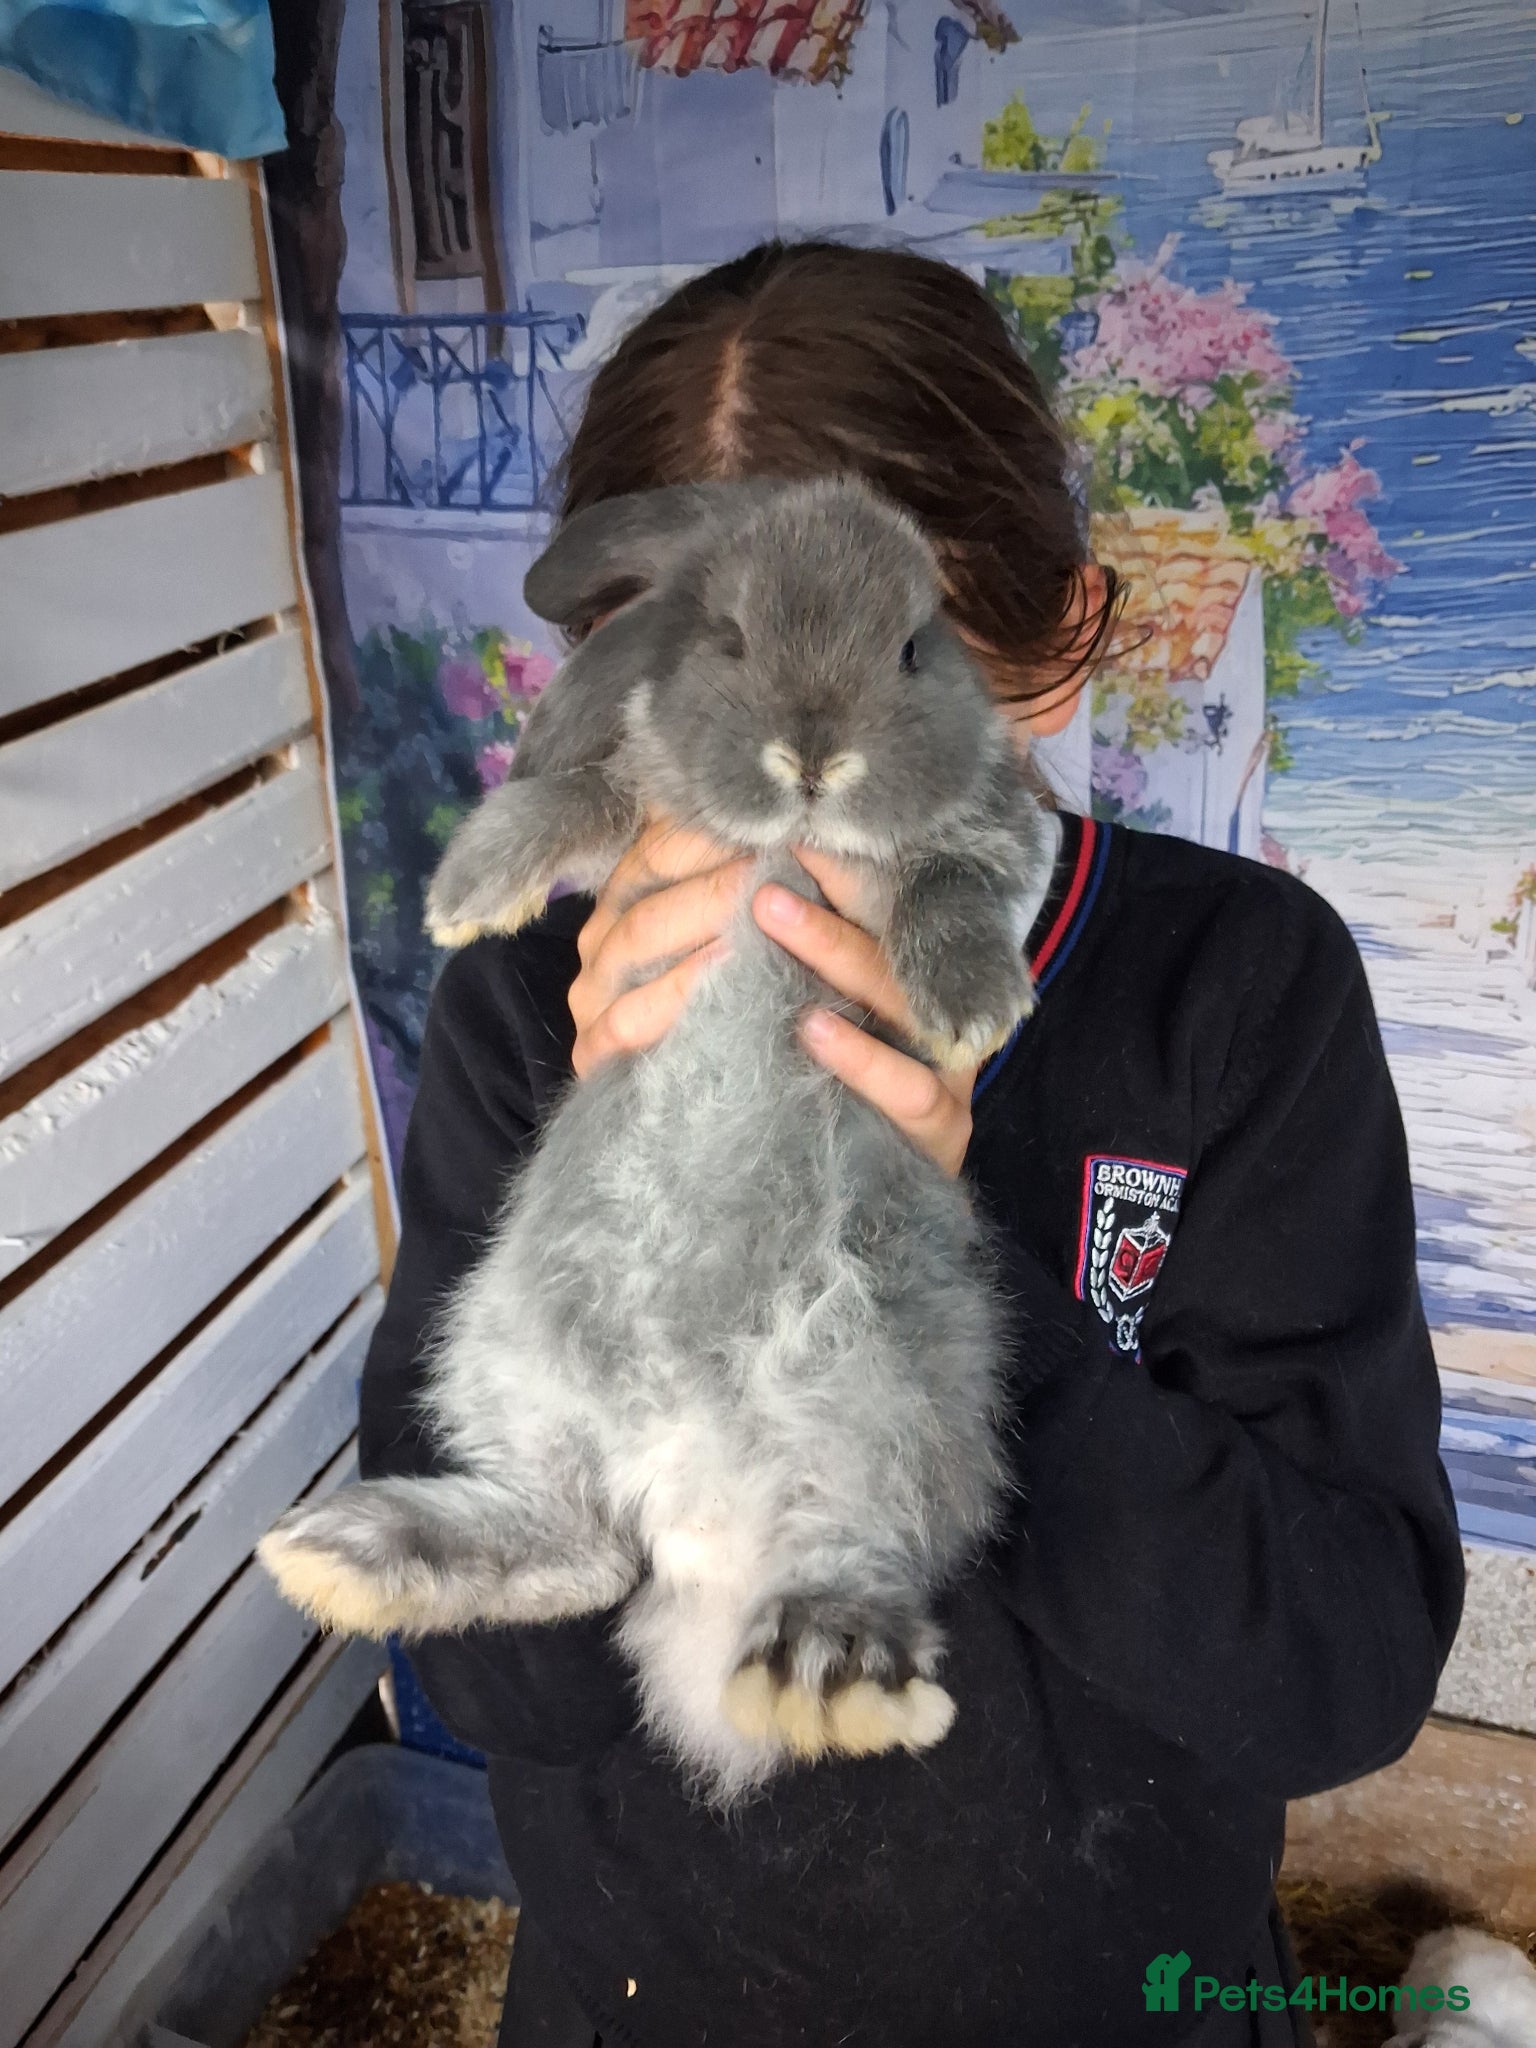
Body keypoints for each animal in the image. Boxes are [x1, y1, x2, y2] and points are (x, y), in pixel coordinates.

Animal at [259, 475, 1058, 1805]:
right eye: (726, 636)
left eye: (915, 646)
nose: (812, 755)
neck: (786, 843)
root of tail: (692, 1508)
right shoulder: (638, 803)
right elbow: (584, 795)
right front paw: (468, 894)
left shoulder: (982, 834)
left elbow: (954, 880)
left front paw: (969, 1007)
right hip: (507, 1351)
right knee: (583, 1547)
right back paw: (348, 1550)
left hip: (886, 1388)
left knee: (856, 1541)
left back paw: (825, 1668)